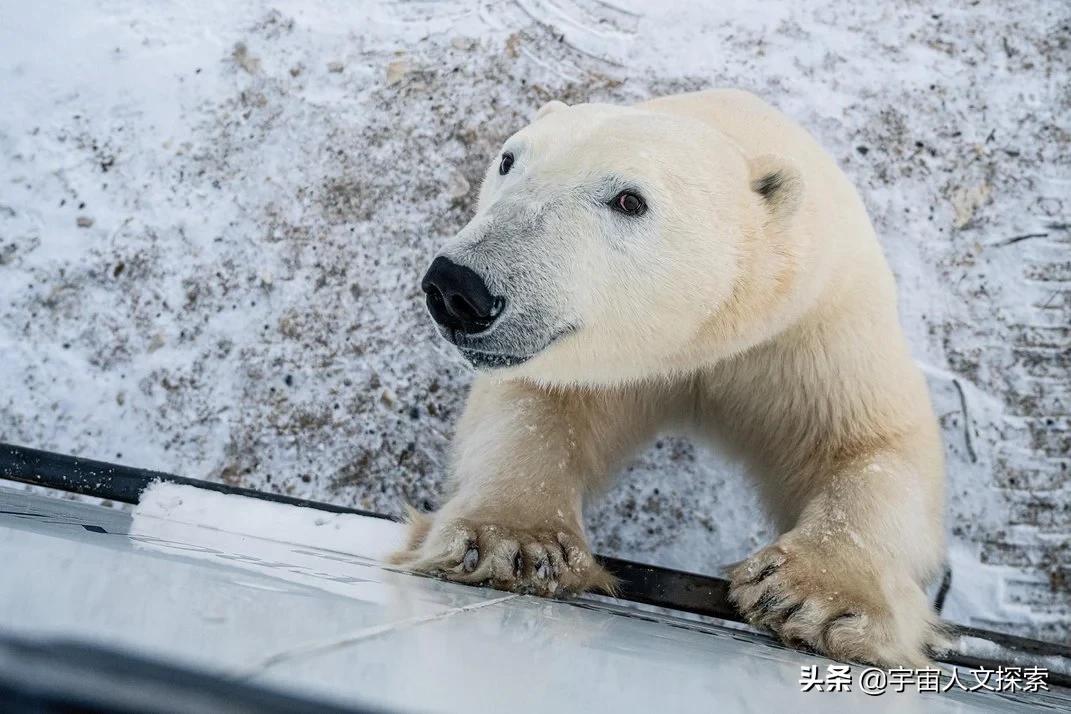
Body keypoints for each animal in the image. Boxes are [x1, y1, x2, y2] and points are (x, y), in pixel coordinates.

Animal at [389, 90, 942, 672]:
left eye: (630, 200)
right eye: (509, 159)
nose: (458, 288)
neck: (698, 340)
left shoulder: (809, 325)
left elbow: (871, 444)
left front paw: (817, 598)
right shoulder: (593, 363)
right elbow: (533, 408)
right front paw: (513, 544)